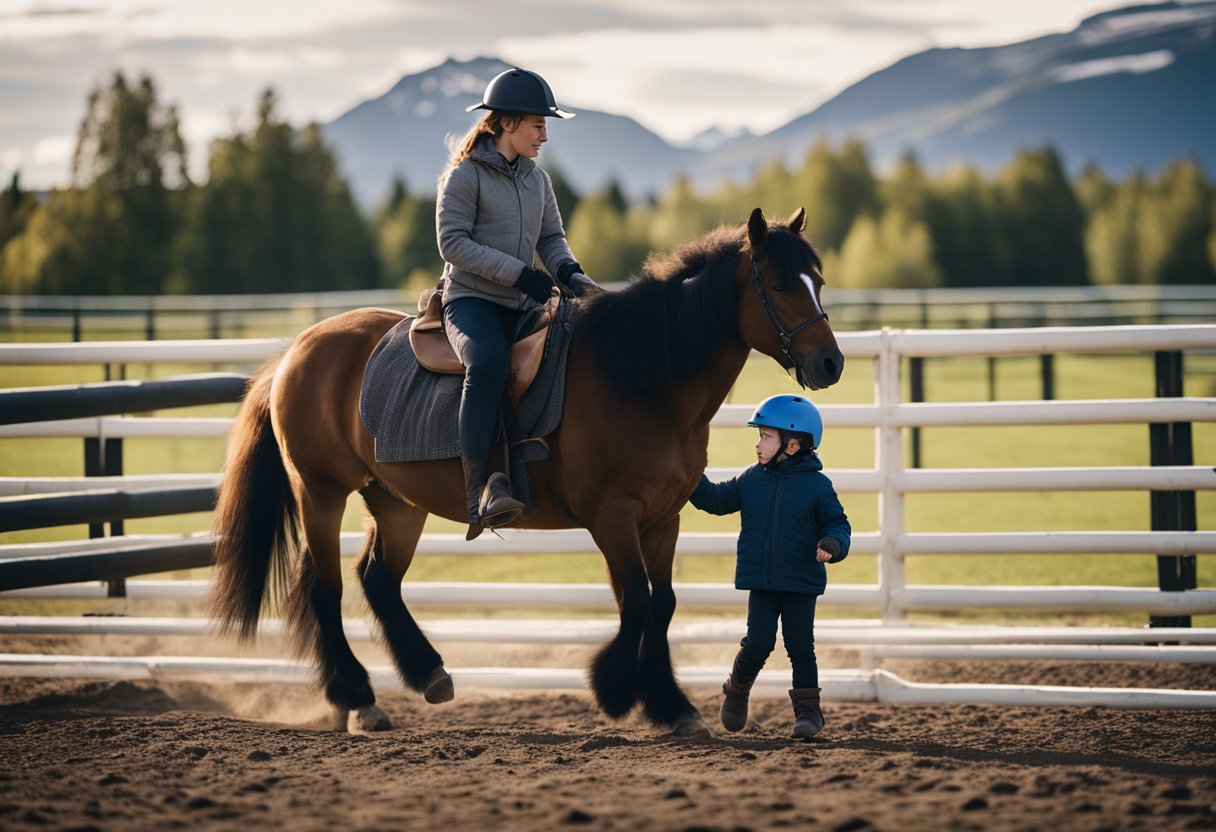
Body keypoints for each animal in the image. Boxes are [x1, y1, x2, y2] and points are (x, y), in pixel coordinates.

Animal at [209, 206, 846, 734]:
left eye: (818, 280)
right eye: (781, 283)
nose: (830, 363)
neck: (638, 377)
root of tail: (295, 351)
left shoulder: (661, 520)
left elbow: (660, 605)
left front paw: (670, 705)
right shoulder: (613, 517)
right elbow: (638, 603)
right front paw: (616, 690)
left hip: (395, 501)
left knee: (377, 579)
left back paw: (427, 675)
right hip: (321, 493)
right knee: (327, 589)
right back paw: (358, 697)